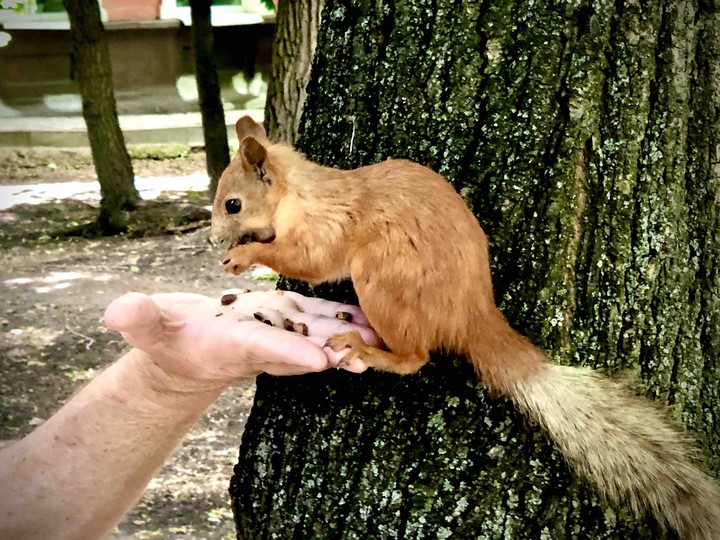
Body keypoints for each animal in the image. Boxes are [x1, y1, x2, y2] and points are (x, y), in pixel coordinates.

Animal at [211, 115, 720, 539]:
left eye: (233, 204)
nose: (215, 240)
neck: (301, 194)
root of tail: (472, 314)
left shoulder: (325, 229)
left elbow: (307, 262)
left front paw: (245, 256)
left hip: (384, 280)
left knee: (415, 358)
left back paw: (366, 347)